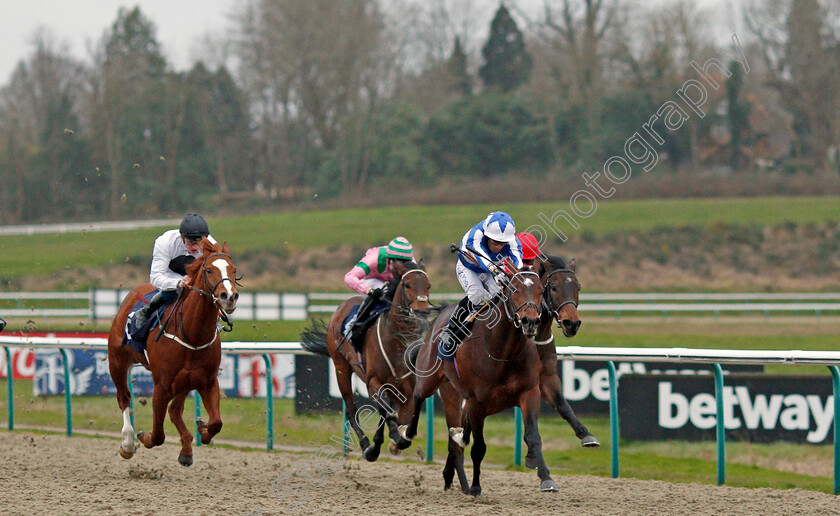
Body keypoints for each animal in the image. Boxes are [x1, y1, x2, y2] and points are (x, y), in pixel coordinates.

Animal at [107, 240, 240, 466]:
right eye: (208, 269)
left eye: (234, 270)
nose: (229, 297)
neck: (192, 335)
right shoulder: (161, 386)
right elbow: (158, 435)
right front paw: (143, 437)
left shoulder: (207, 381)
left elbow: (216, 423)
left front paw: (202, 429)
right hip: (117, 362)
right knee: (124, 398)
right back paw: (127, 444)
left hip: (184, 382)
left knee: (175, 410)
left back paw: (186, 449)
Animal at [300, 262, 430, 460]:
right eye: (407, 285)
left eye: (428, 285)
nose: (422, 311)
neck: (397, 341)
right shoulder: (373, 382)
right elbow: (385, 410)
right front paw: (384, 442)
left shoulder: (407, 390)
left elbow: (401, 418)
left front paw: (396, 440)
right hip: (341, 368)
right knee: (351, 410)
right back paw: (366, 445)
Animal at [404, 266, 556, 496]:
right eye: (515, 290)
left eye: (541, 290)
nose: (530, 321)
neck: (502, 351)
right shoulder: (477, 403)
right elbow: (479, 448)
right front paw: (475, 487)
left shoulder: (529, 393)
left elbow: (533, 437)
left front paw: (546, 478)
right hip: (429, 376)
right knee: (418, 395)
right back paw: (407, 434)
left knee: (458, 433)